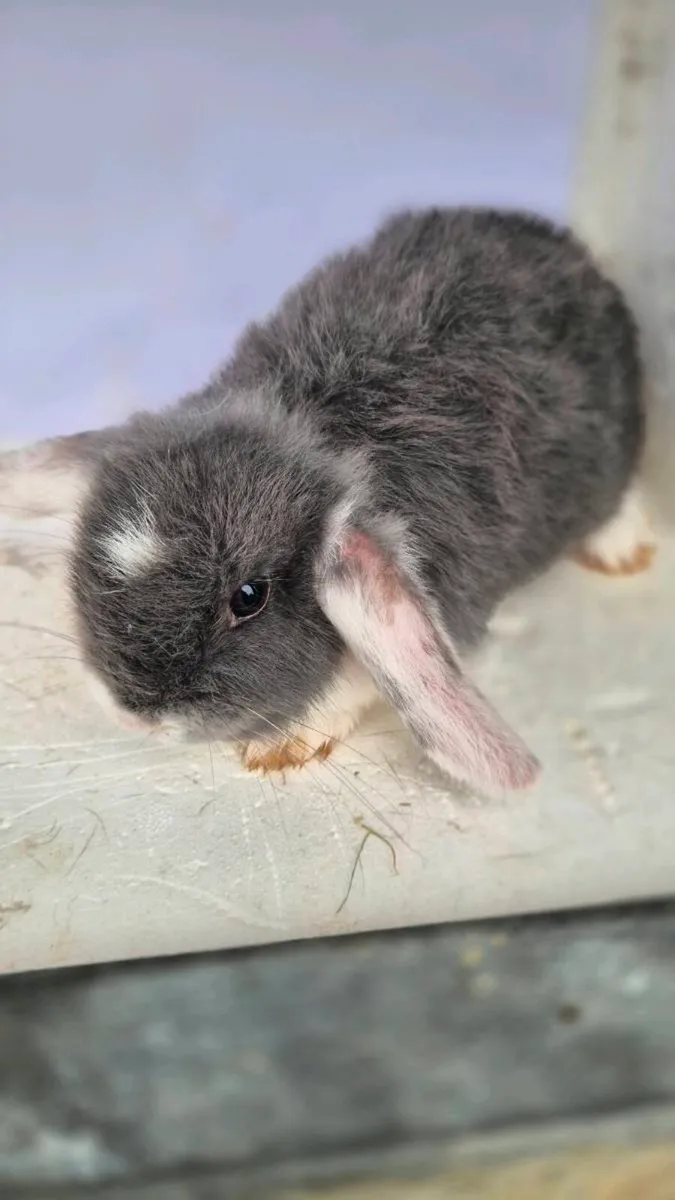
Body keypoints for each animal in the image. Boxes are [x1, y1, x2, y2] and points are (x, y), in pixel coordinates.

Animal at [55, 206, 655, 793]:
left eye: (249, 597)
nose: (135, 714)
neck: (312, 432)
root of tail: (551, 239)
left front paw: (278, 748)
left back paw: (626, 553)